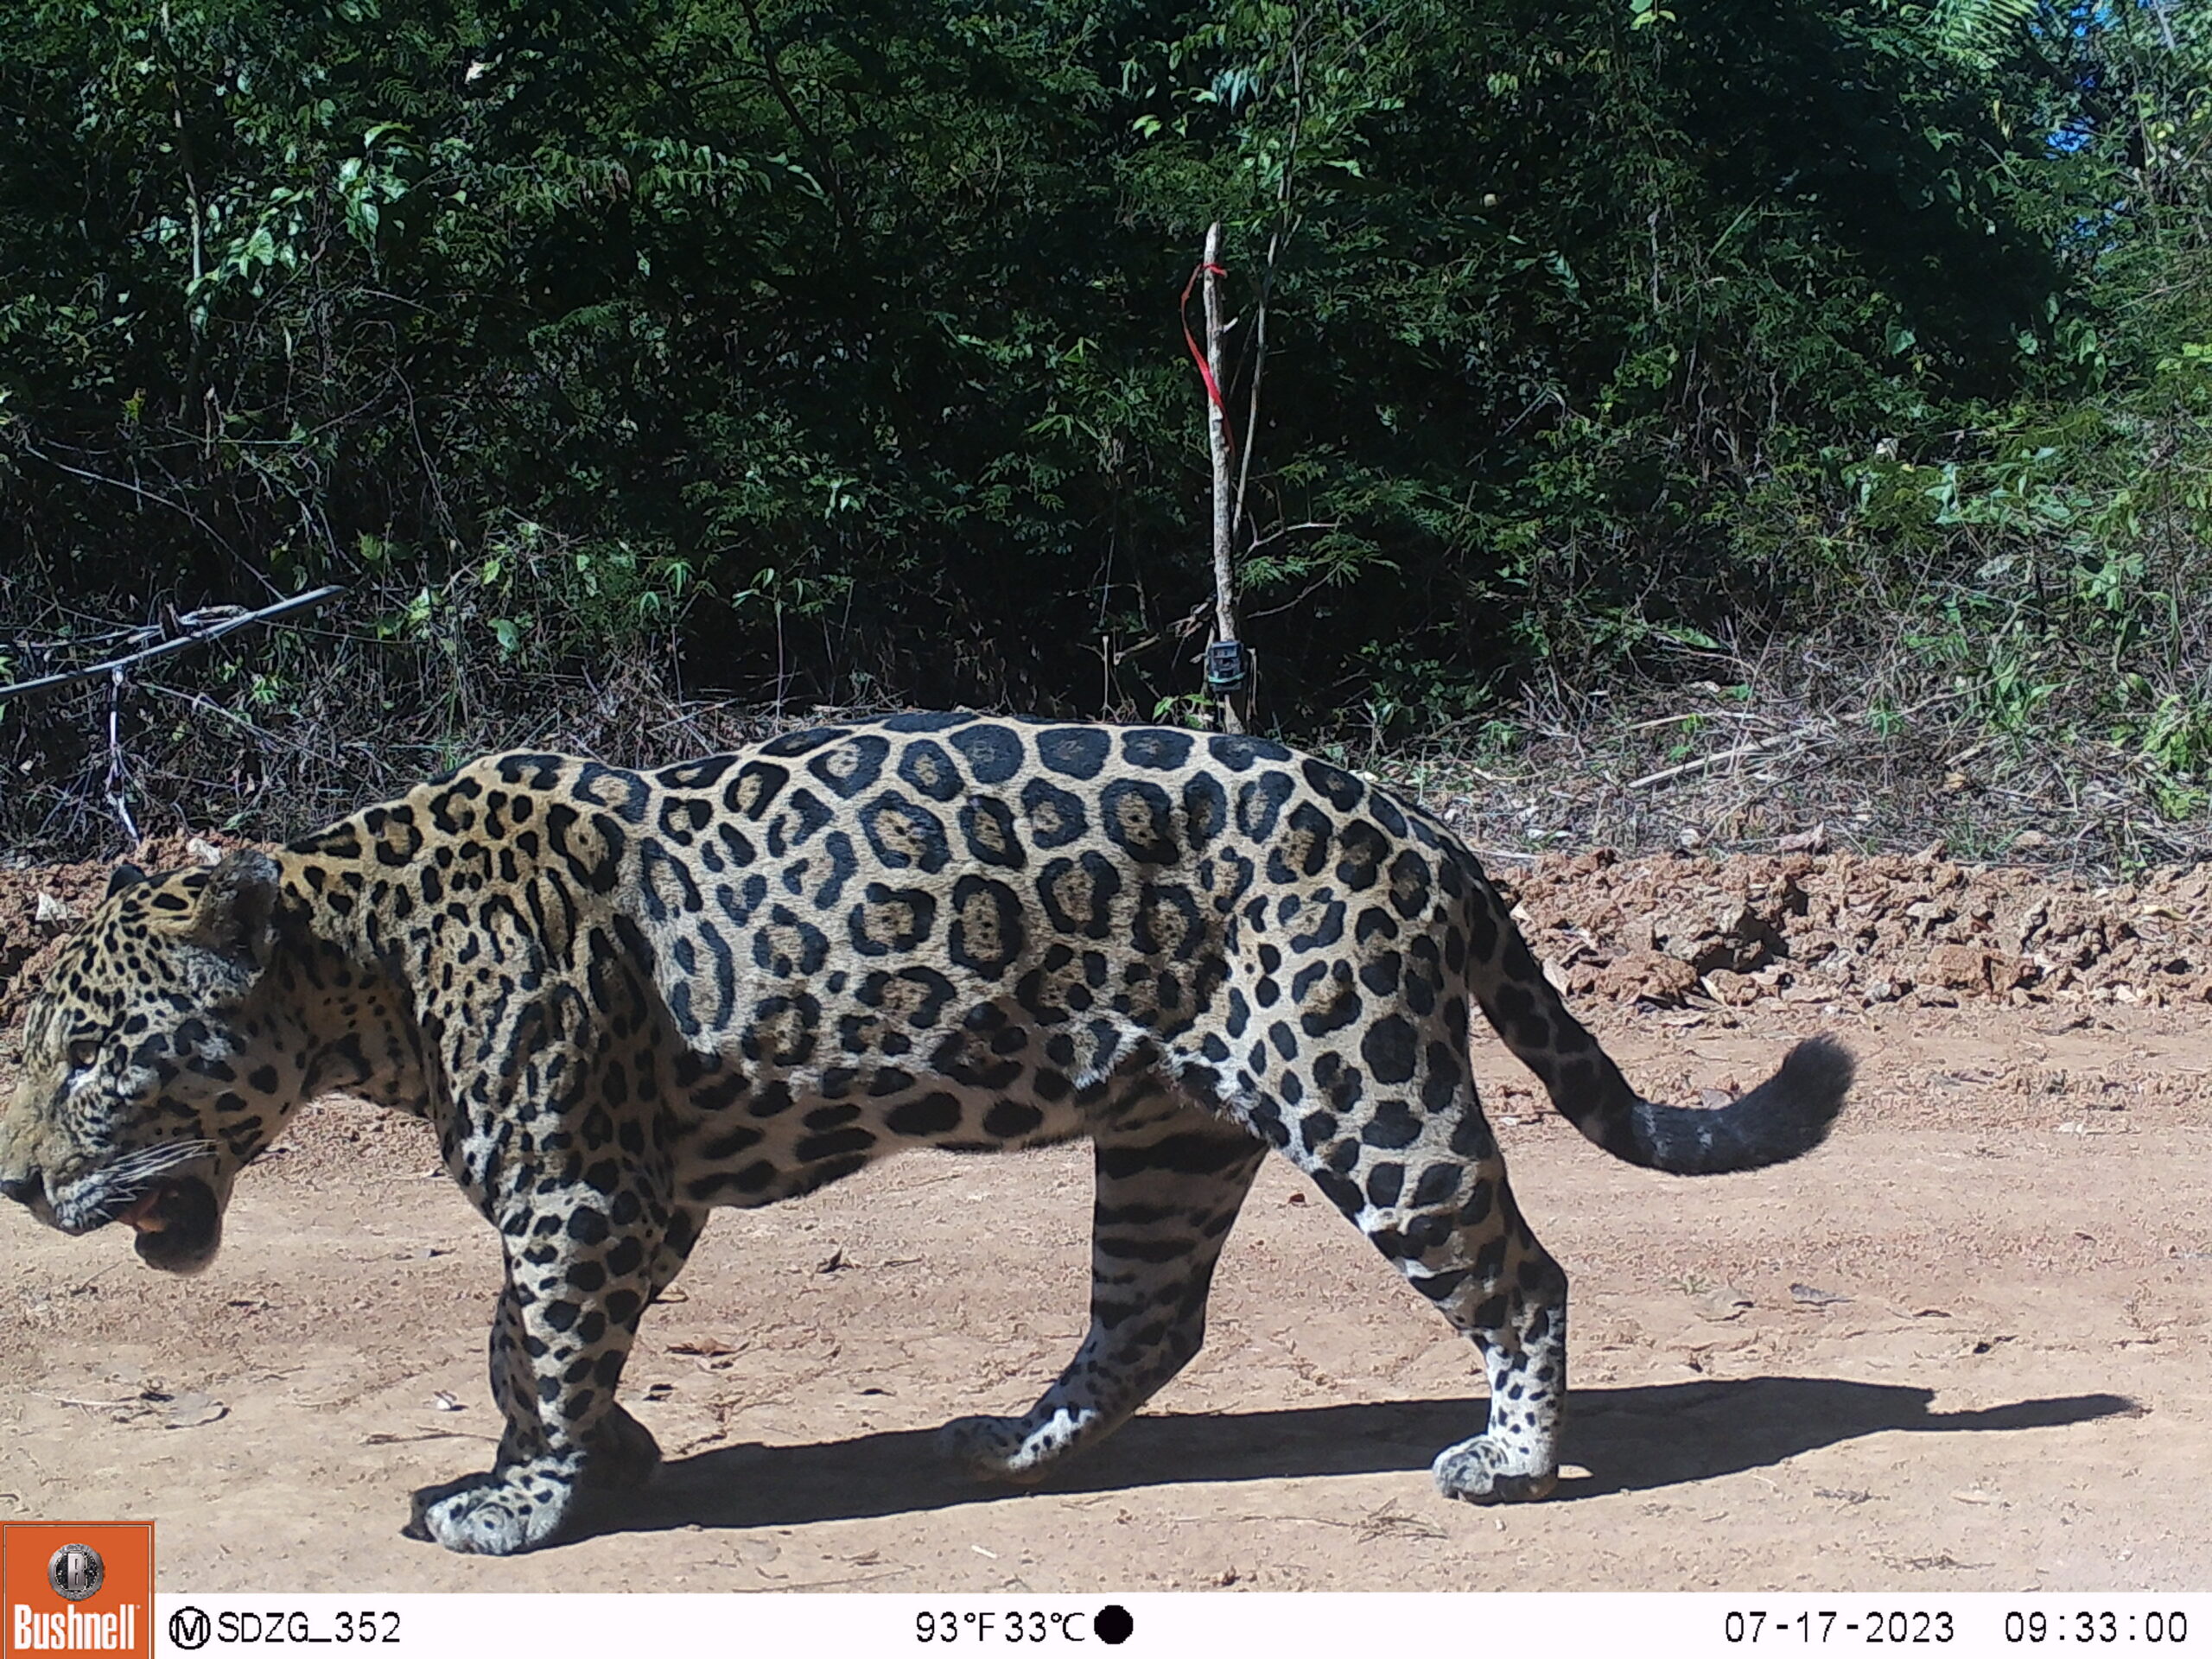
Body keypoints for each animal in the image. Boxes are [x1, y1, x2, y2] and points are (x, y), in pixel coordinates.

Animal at [1, 714, 1852, 1555]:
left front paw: (524, 1506)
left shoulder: (582, 1190)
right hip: (1174, 1135)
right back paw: (1013, 1446)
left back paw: (1513, 1461)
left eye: (92, 1060)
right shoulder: (639, 1194)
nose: (17, 1181)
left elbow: (538, 1338)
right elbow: (521, 1342)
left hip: (1366, 1082)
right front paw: (600, 1455)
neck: (364, 961)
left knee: (1519, 1273)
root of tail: (1425, 825)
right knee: (1150, 1316)